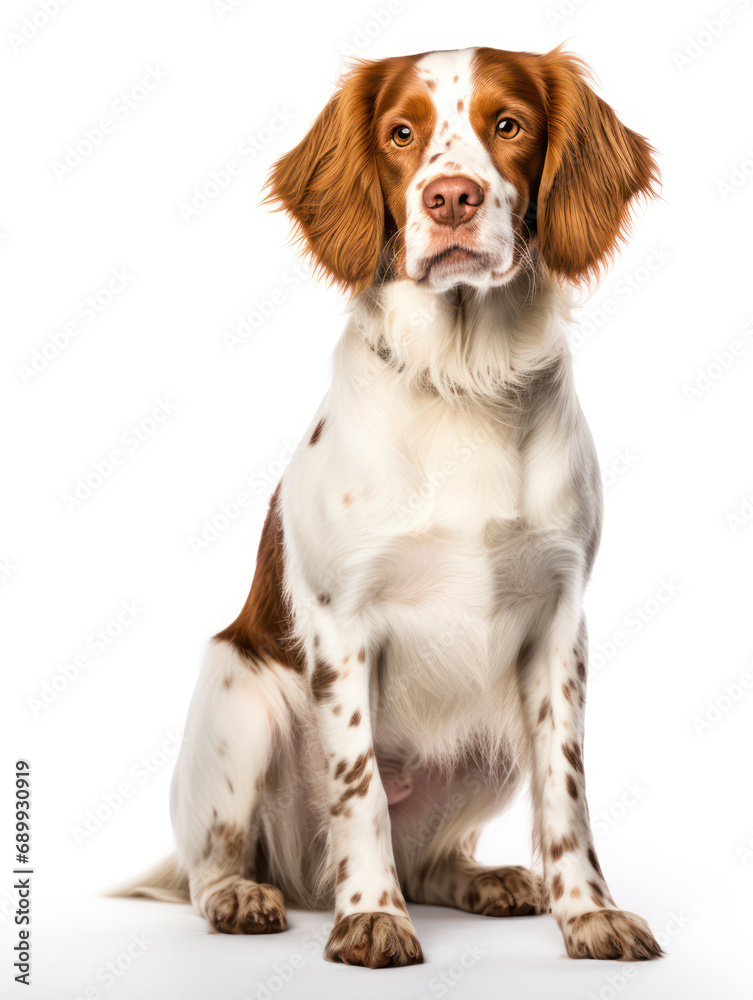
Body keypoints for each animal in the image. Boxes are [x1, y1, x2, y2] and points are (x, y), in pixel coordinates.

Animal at [120, 47, 660, 968]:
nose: (450, 198)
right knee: (209, 865)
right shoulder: (342, 623)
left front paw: (589, 913)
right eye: (400, 133)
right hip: (239, 695)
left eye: (508, 123)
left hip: (488, 744)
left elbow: (567, 791)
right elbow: (359, 790)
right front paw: (370, 916)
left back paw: (484, 879)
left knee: (433, 860)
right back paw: (247, 896)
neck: (463, 378)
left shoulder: (558, 625)